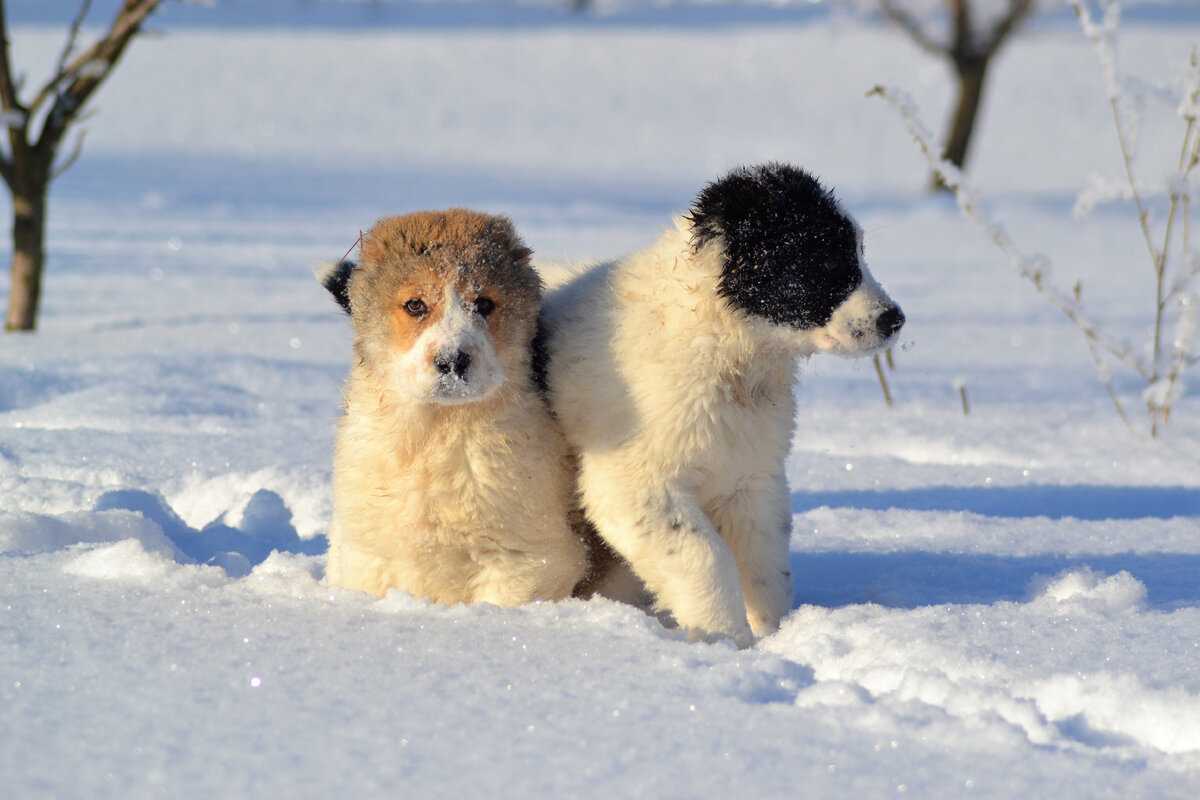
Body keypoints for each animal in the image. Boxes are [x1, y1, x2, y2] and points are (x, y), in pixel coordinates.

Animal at [324, 209, 585, 604]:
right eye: (415, 305)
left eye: (484, 304)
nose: (452, 361)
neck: (437, 430)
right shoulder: (366, 558)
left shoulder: (526, 562)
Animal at [540, 165, 902, 647]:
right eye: (824, 261)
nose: (894, 319)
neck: (724, 347)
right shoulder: (633, 483)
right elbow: (703, 554)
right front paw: (725, 639)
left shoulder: (749, 478)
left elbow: (767, 566)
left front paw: (775, 635)